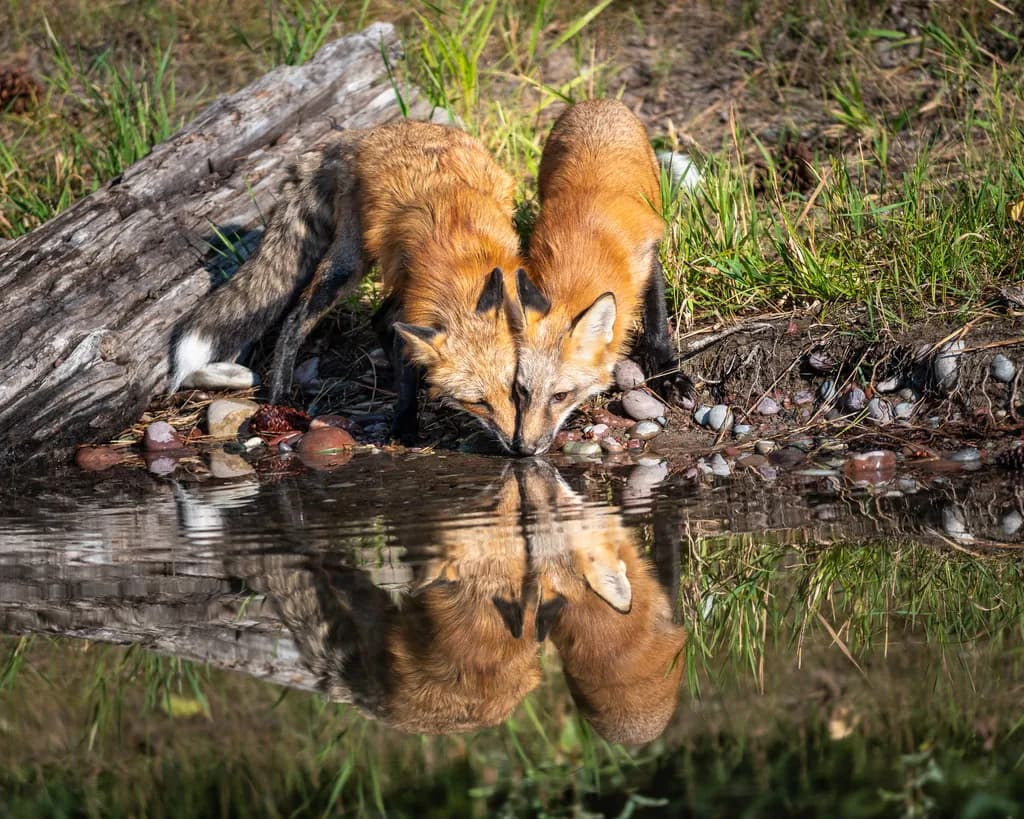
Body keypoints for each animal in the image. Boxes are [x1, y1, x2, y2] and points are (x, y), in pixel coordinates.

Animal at [172, 120, 525, 447]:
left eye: (514, 389)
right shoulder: (415, 309)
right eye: (478, 402)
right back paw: (280, 397)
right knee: (295, 322)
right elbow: (407, 374)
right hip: (347, 266)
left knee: (379, 319)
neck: (464, 258)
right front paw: (405, 425)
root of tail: (356, 135)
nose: (517, 445)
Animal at [512, 99, 693, 455]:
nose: (524, 449)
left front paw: (667, 373)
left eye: (560, 395)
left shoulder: (647, 258)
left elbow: (657, 324)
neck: (581, 250)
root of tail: (597, 102)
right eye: (522, 391)